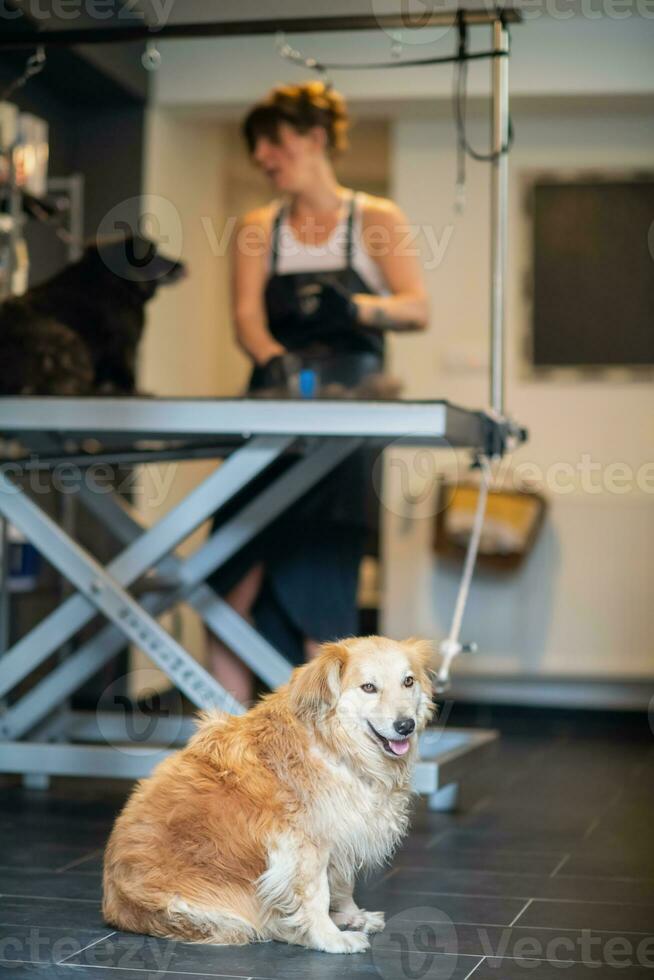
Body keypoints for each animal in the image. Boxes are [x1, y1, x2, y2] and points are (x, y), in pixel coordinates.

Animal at [102, 636, 436, 948]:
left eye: (408, 681)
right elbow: (315, 895)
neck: (333, 744)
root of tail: (116, 905)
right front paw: (329, 938)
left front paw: (350, 914)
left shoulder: (342, 829)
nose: (406, 725)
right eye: (368, 687)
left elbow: (343, 883)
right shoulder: (303, 842)